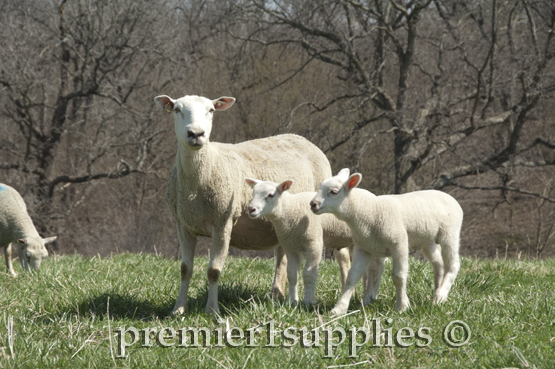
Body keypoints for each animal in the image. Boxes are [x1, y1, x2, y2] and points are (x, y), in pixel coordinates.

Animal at [154, 94, 332, 314]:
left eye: (211, 110)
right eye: (177, 109)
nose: (196, 134)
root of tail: (301, 138)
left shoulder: (223, 222)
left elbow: (213, 271)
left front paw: (212, 311)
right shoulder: (183, 225)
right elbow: (185, 269)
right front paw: (178, 310)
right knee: (282, 256)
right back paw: (277, 295)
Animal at [310, 168, 462, 312]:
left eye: (334, 191)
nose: (312, 204)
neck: (370, 211)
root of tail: (449, 197)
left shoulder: (399, 244)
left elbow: (398, 277)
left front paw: (402, 307)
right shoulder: (364, 248)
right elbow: (352, 277)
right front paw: (339, 309)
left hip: (449, 233)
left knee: (453, 265)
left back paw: (440, 296)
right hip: (427, 240)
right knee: (438, 264)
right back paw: (437, 291)